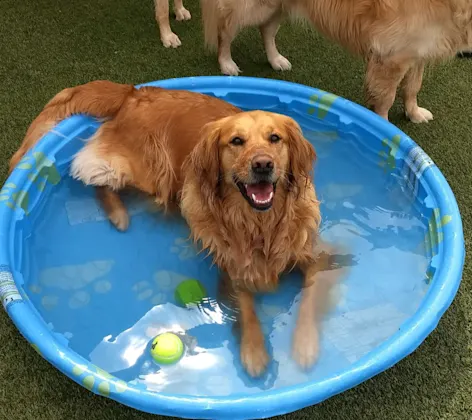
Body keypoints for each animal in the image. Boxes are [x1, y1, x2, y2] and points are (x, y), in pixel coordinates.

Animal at [9, 80, 334, 376]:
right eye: (236, 141)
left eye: (275, 138)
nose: (263, 164)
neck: (260, 224)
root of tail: (135, 91)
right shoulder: (231, 266)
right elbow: (246, 308)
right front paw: (253, 350)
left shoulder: (315, 256)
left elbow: (310, 295)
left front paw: (305, 344)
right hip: (149, 172)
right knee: (94, 177)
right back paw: (118, 215)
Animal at [201, 0, 472, 122]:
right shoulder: (391, 56)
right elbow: (386, 98)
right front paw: (384, 127)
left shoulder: (417, 50)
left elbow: (413, 87)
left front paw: (414, 113)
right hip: (251, 7)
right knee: (225, 29)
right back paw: (226, 62)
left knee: (266, 29)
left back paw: (275, 59)